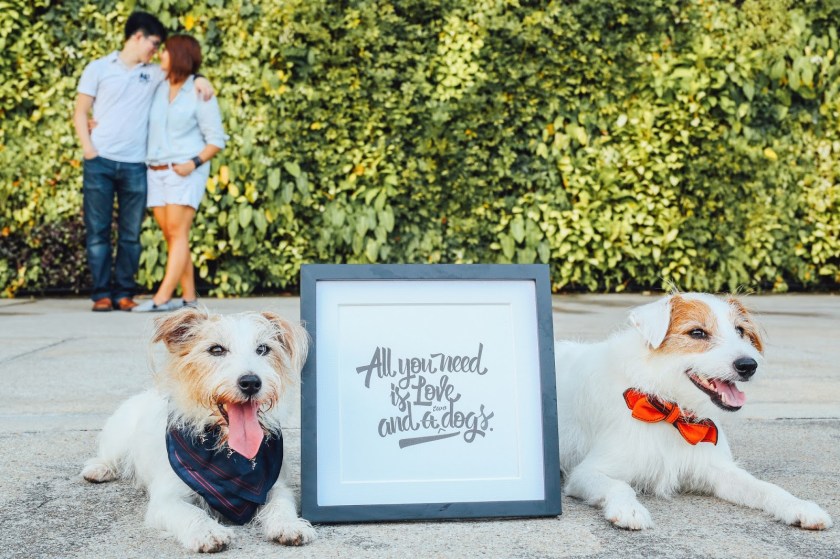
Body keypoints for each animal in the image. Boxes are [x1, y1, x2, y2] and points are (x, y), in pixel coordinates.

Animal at [81, 308, 316, 552]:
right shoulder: (167, 500)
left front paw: (289, 525)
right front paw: (207, 532)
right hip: (117, 437)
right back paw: (99, 469)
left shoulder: (277, 486)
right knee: (108, 454)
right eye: (216, 349)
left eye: (263, 349)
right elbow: (191, 512)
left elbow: (282, 504)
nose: (251, 382)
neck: (228, 454)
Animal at [555, 292, 833, 530]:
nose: (748, 365)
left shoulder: (719, 470)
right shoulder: (588, 473)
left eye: (740, 331)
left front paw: (800, 506)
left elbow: (766, 488)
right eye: (697, 333)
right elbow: (619, 486)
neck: (670, 409)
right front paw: (629, 509)